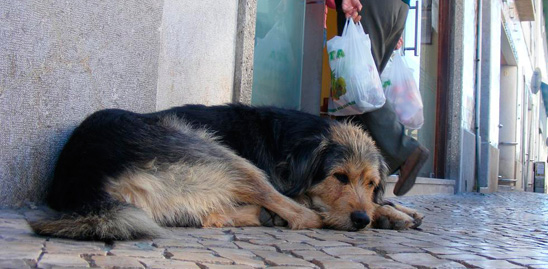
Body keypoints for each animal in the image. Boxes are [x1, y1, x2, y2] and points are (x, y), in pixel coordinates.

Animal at [31, 103, 424, 240]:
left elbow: (379, 202)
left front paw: (396, 210)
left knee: (211, 216)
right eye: (339, 177)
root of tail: (79, 179)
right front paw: (389, 214)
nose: (360, 220)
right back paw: (278, 215)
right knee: (302, 216)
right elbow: (309, 207)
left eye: (371, 182)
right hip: (222, 154)